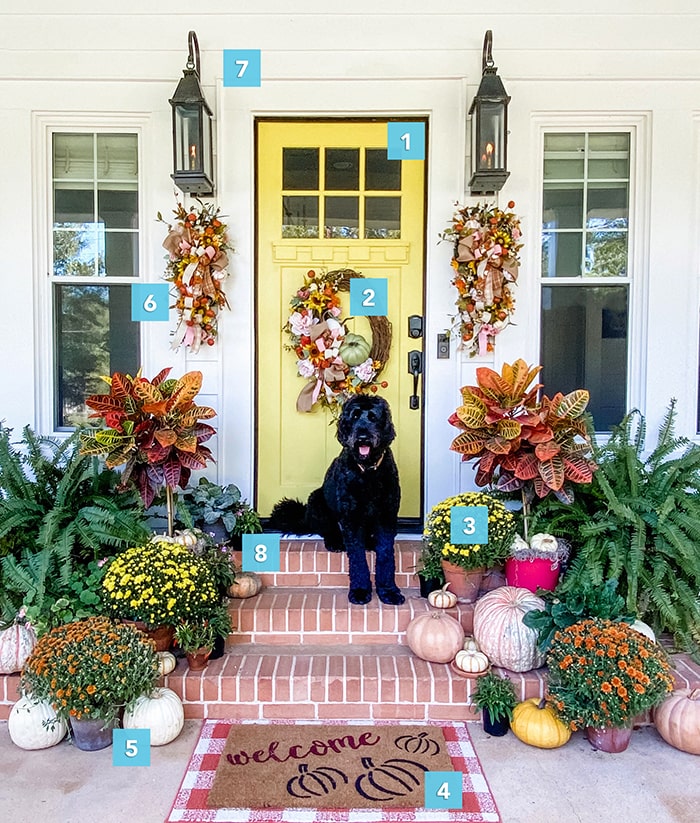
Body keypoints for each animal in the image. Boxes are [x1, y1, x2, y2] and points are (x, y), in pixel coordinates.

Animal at [268, 396, 404, 608]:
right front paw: (360, 591)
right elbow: (357, 558)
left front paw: (388, 591)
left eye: (373, 417)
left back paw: (369, 542)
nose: (362, 438)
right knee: (328, 530)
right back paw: (335, 542)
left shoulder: (386, 516)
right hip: (317, 501)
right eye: (354, 416)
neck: (368, 471)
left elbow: (385, 556)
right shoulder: (351, 518)